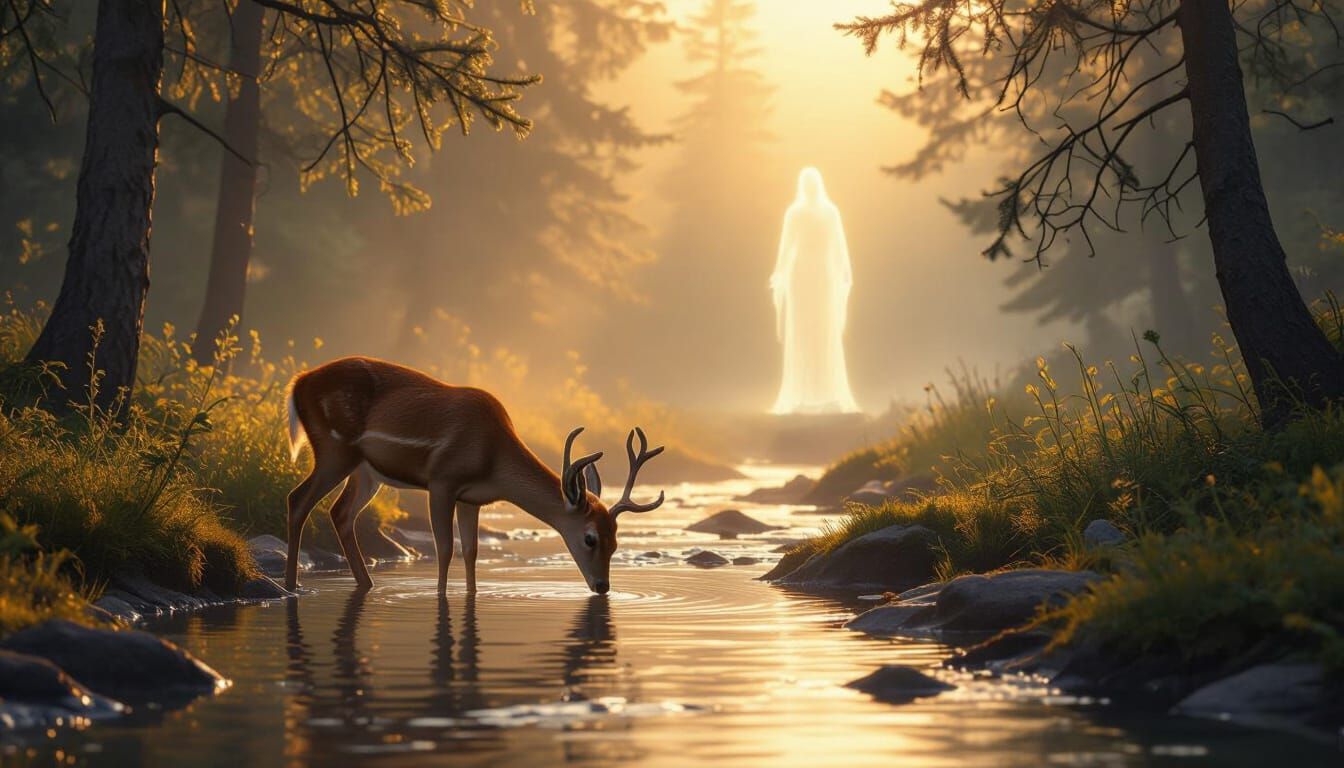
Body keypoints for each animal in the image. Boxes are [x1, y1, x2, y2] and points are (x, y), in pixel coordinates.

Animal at [282, 356, 666, 595]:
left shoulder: (472, 498)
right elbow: (445, 547)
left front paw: (472, 594)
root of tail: (298, 383)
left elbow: (471, 550)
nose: (602, 586)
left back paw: (364, 585)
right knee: (297, 499)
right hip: (335, 448)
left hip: (366, 470)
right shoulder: (442, 480)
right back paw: (290, 587)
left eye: (616, 541)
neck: (492, 459)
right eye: (590, 538)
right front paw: (440, 597)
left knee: (340, 513)